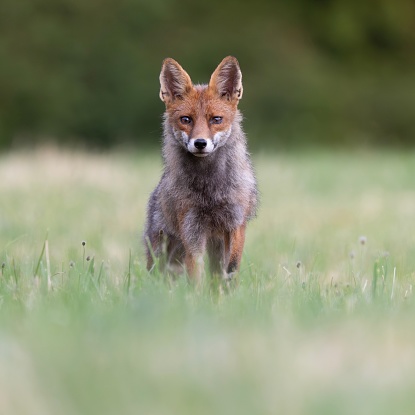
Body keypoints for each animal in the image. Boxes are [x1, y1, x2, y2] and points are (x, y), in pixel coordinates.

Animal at [145, 56, 258, 282]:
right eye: (186, 120)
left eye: (216, 119)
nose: (200, 143)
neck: (210, 192)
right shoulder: (192, 230)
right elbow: (195, 273)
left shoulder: (236, 223)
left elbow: (232, 266)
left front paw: (228, 287)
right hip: (161, 251)